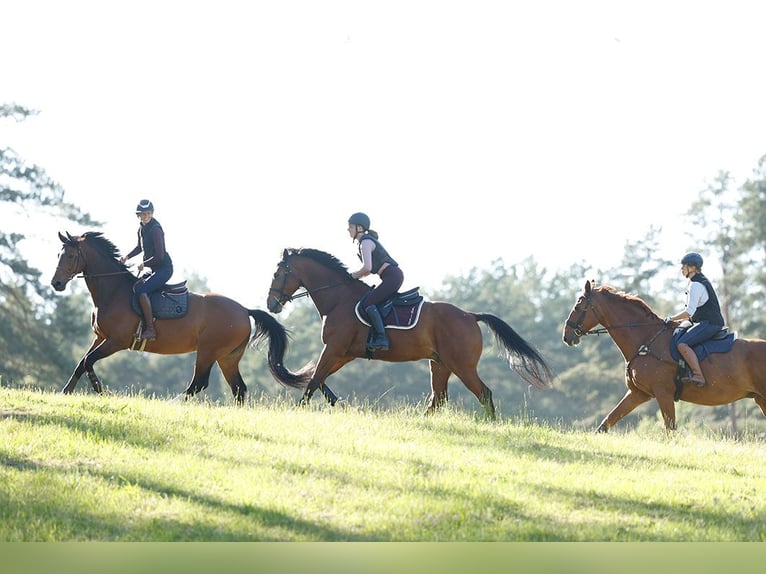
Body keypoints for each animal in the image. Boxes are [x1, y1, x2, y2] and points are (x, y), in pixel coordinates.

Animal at [50, 231, 312, 404]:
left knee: (199, 383)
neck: (113, 291)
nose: (56, 283)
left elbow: (88, 362)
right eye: (59, 254)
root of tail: (244, 310)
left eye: (70, 256)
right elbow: (81, 363)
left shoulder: (116, 341)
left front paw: (102, 392)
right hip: (227, 356)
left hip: (208, 351)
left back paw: (171, 403)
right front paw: (65, 392)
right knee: (238, 388)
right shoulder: (100, 337)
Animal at [268, 246, 556, 418]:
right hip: (440, 363)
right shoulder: (344, 353)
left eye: (277, 274)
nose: (272, 304)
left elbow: (314, 379)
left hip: (461, 365)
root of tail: (470, 315)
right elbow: (318, 377)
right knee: (438, 398)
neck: (338, 298)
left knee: (483, 393)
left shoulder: (335, 348)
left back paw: (490, 423)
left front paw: (300, 409)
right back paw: (422, 421)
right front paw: (336, 402)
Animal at [560, 282, 766, 434]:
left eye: (578, 305)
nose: (566, 336)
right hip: (760, 399)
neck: (646, 340)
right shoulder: (638, 393)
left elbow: (670, 430)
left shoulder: (663, 393)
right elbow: (607, 422)